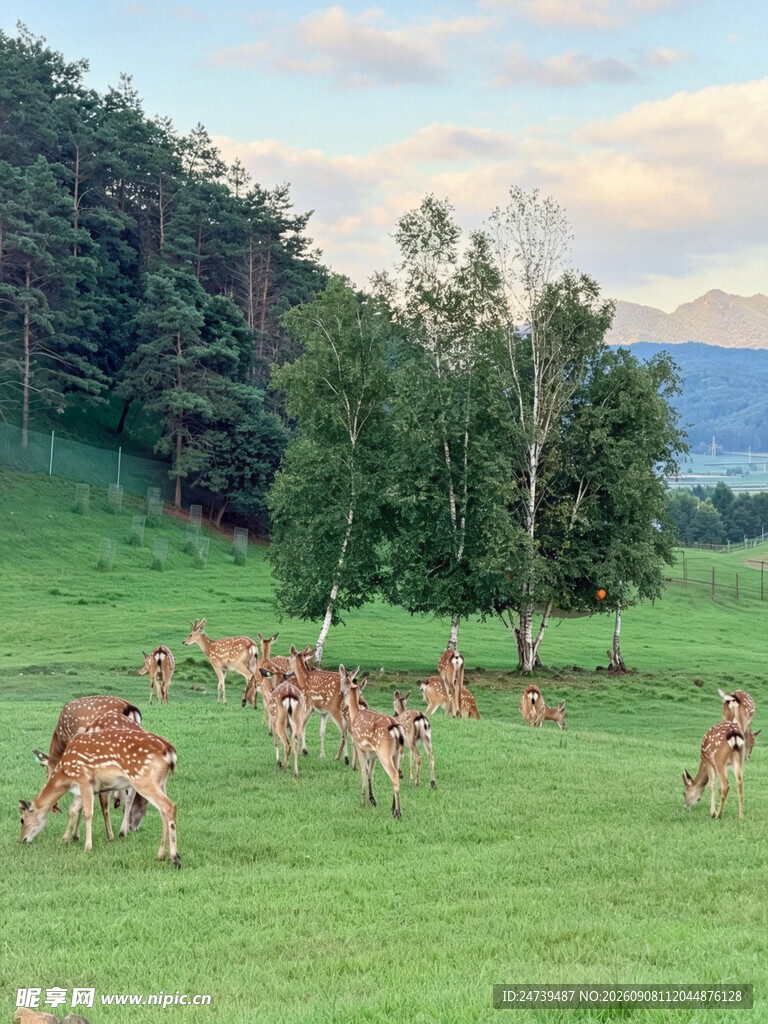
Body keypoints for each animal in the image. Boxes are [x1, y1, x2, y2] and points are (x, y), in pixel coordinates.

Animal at [20, 726, 181, 867]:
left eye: (22, 819)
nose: (21, 840)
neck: (65, 775)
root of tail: (170, 752)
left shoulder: (84, 780)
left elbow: (88, 813)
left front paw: (88, 846)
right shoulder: (81, 789)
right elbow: (72, 810)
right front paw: (65, 839)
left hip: (142, 778)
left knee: (170, 806)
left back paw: (175, 859)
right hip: (161, 782)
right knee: (163, 811)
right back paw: (161, 856)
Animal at [340, 666, 405, 819]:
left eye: (343, 682)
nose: (341, 695)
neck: (355, 714)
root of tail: (396, 729)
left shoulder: (359, 747)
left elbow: (364, 771)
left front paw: (363, 801)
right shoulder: (372, 754)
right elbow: (370, 773)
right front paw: (372, 800)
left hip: (384, 752)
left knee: (394, 774)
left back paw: (398, 813)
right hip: (397, 754)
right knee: (396, 774)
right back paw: (392, 809)